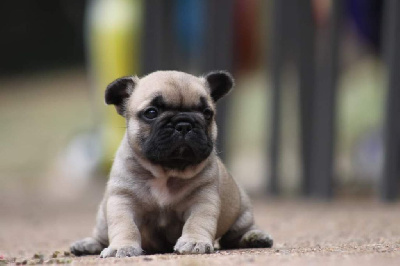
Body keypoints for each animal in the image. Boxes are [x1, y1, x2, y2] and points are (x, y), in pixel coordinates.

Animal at [70, 70, 274, 258]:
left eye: (207, 113)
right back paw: (87, 245)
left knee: (236, 235)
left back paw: (254, 237)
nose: (184, 124)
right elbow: (125, 225)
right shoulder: (122, 200)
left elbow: (197, 221)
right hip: (102, 219)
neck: (166, 172)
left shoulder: (203, 200)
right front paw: (122, 246)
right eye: (151, 112)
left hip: (241, 211)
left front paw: (194, 242)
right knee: (101, 235)